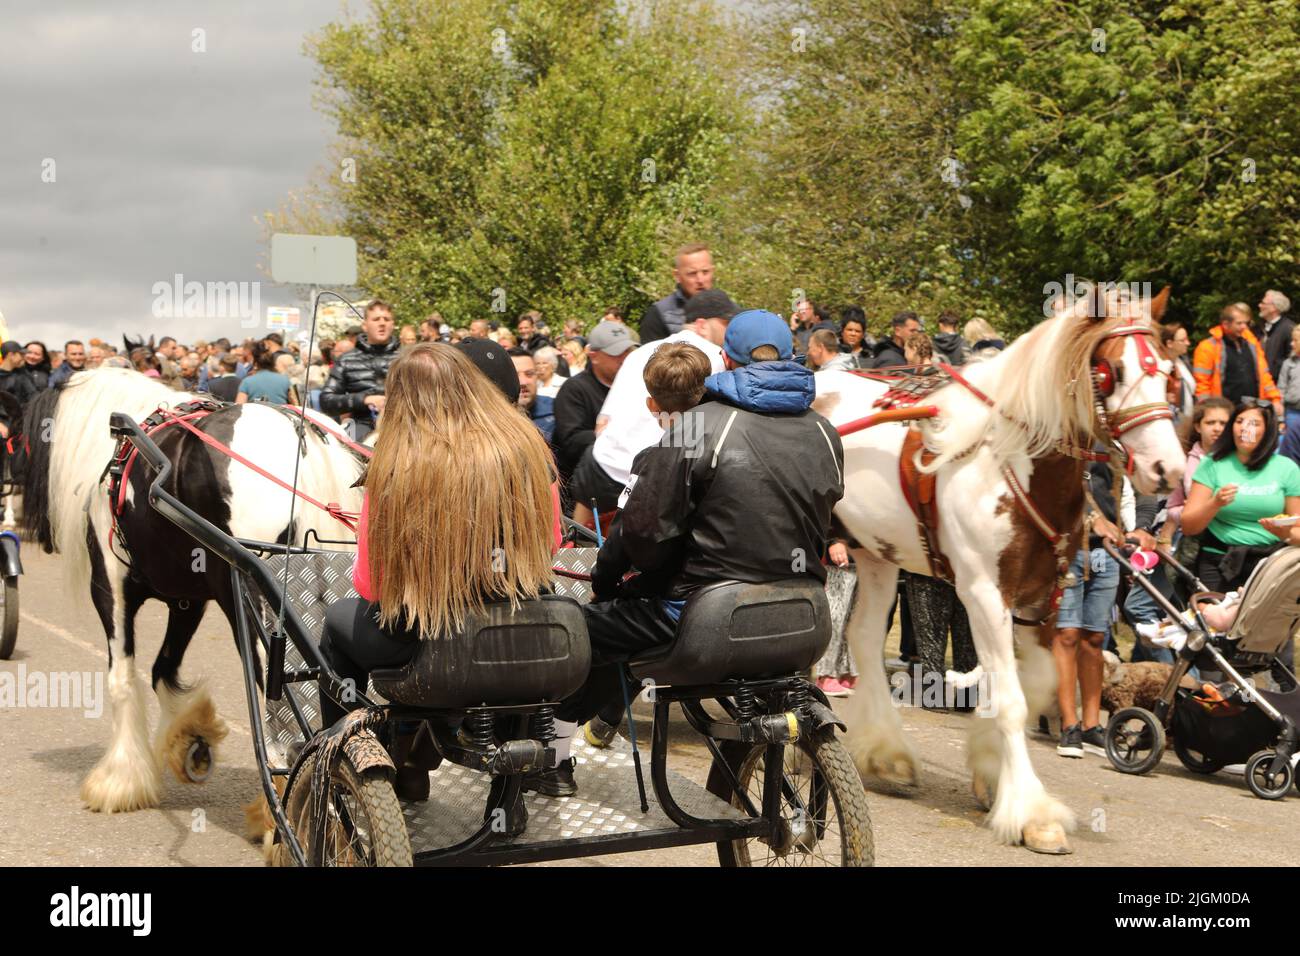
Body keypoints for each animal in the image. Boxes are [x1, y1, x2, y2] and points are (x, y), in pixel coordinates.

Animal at [19, 368, 364, 814]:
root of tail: (300, 433)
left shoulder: (110, 587)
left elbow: (122, 678)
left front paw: (121, 779)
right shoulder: (188, 600)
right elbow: (162, 670)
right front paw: (191, 739)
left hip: (254, 602)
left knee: (279, 708)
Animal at [813, 287, 1185, 854]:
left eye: (1168, 371)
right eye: (1111, 373)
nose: (1168, 471)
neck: (1007, 457)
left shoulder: (1043, 597)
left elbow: (1036, 685)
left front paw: (992, 772)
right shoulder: (982, 593)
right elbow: (1011, 699)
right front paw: (1033, 814)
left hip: (877, 554)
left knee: (863, 636)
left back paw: (885, 753)